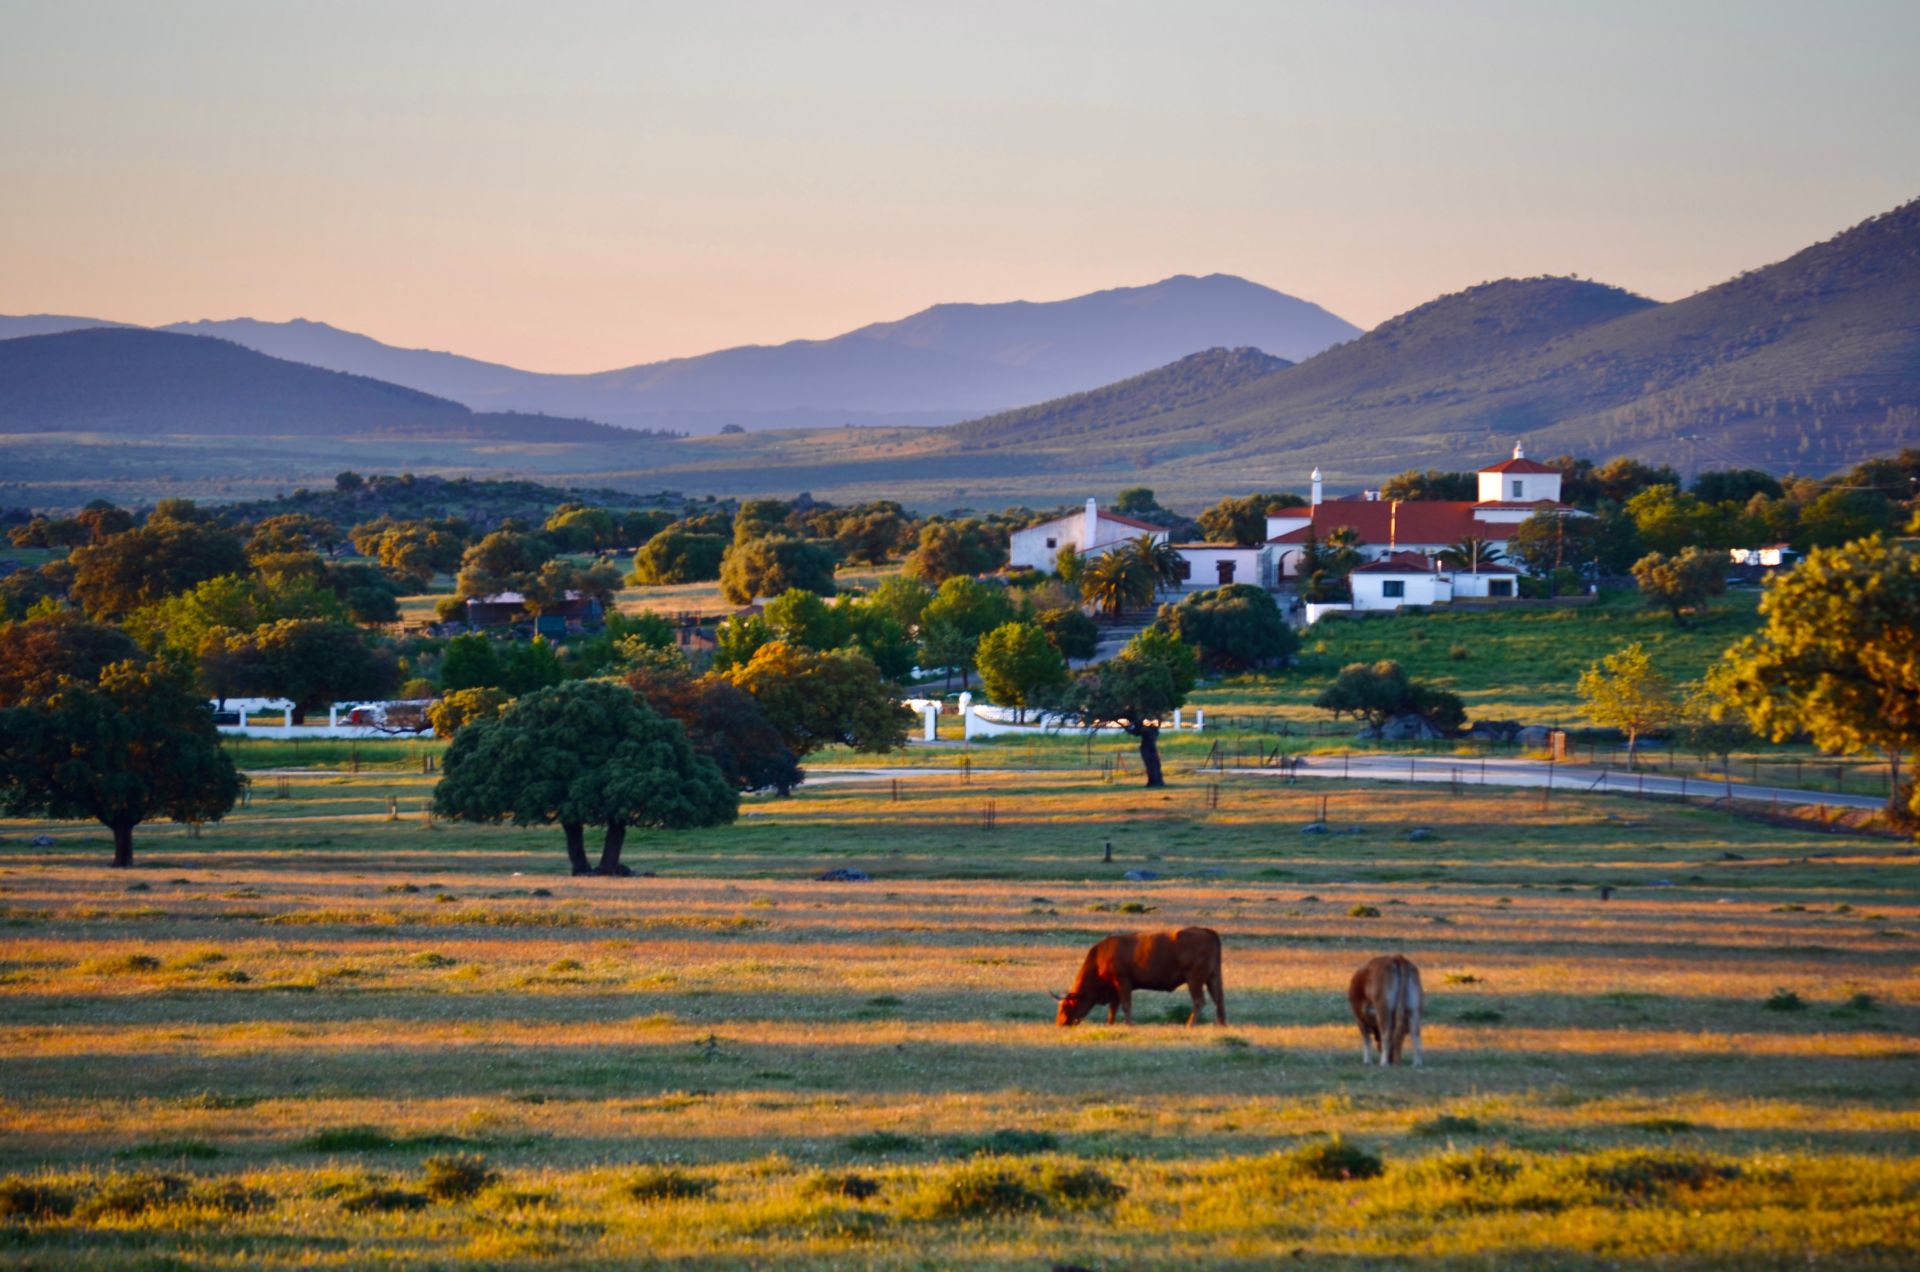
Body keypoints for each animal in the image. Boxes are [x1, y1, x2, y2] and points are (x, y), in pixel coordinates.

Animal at [1059, 926, 1221, 1029]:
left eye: (1066, 1007)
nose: (1060, 1023)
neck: (1100, 958)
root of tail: (1208, 932)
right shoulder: (1115, 989)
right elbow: (1113, 1008)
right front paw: (1109, 1024)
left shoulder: (1123, 982)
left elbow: (1125, 1005)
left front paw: (1129, 1025)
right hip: (1213, 978)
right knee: (1218, 1000)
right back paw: (1221, 1024)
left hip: (1194, 980)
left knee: (1199, 1001)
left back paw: (1189, 1025)